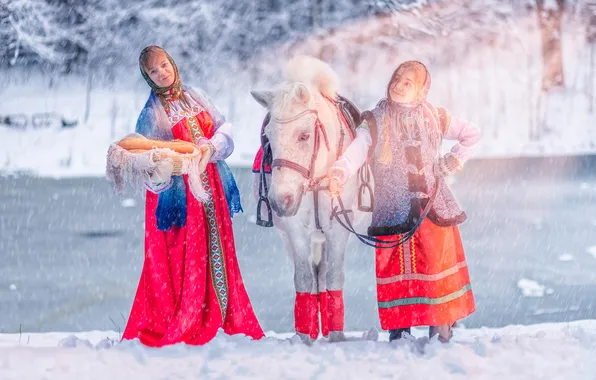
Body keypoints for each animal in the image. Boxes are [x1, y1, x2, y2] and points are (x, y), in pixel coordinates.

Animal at [249, 57, 366, 344]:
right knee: (314, 275)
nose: (281, 200)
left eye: (304, 135)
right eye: (268, 136)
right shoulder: (295, 231)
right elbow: (303, 278)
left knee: (322, 273)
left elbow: (334, 275)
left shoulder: (337, 229)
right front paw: (304, 336)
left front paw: (336, 335)